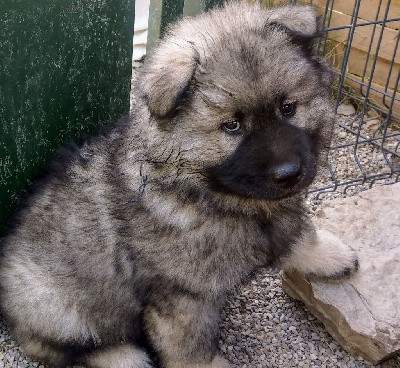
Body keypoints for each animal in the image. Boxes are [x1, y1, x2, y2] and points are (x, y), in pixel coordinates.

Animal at [0, 1, 358, 366]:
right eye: (232, 125)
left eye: (288, 107)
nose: (289, 173)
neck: (210, 192)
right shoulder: (183, 295)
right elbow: (189, 346)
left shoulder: (278, 216)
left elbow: (298, 233)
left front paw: (329, 254)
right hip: (56, 307)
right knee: (72, 347)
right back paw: (124, 356)